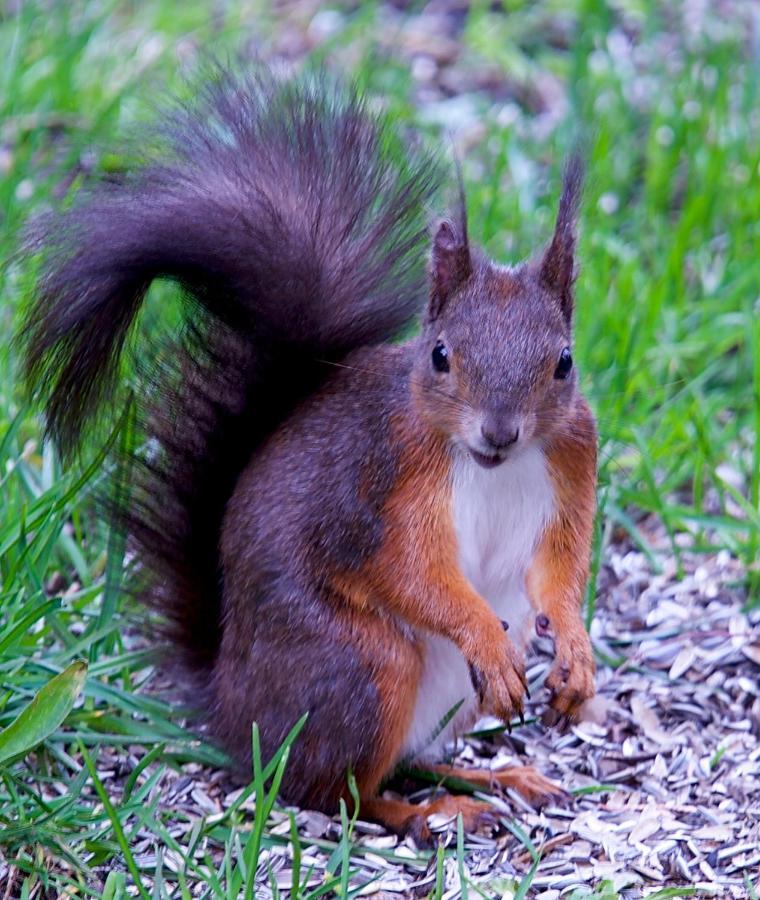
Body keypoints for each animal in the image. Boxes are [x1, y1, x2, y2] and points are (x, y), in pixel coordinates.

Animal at [20, 68, 596, 844]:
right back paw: (432, 810)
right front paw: (489, 638)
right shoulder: (382, 481)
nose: (500, 433)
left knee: (400, 763)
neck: (492, 469)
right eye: (441, 355)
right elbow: (411, 572)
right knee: (334, 792)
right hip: (365, 666)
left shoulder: (571, 464)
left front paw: (575, 652)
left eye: (563, 363)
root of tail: (232, 705)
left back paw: (491, 776)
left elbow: (556, 570)